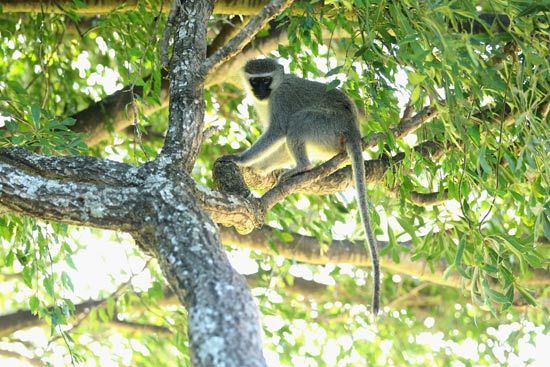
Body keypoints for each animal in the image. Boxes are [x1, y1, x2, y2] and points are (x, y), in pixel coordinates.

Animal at [222, 58, 382, 316]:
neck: (275, 90)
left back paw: (302, 166)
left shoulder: (280, 100)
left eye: (266, 80)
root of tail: (352, 128)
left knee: (297, 122)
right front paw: (260, 169)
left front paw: (240, 159)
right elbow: (278, 144)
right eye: (255, 81)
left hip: (326, 126)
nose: (260, 91)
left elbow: (277, 131)